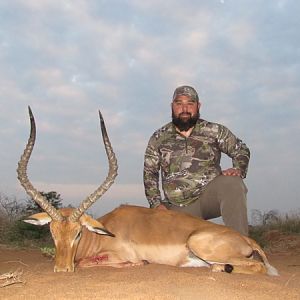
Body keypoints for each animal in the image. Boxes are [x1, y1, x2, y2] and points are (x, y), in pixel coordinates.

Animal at [17, 108, 278, 276]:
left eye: (78, 233)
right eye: (52, 232)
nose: (62, 269)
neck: (103, 233)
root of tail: (247, 239)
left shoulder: (116, 254)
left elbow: (87, 263)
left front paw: (138, 264)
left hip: (199, 243)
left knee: (257, 266)